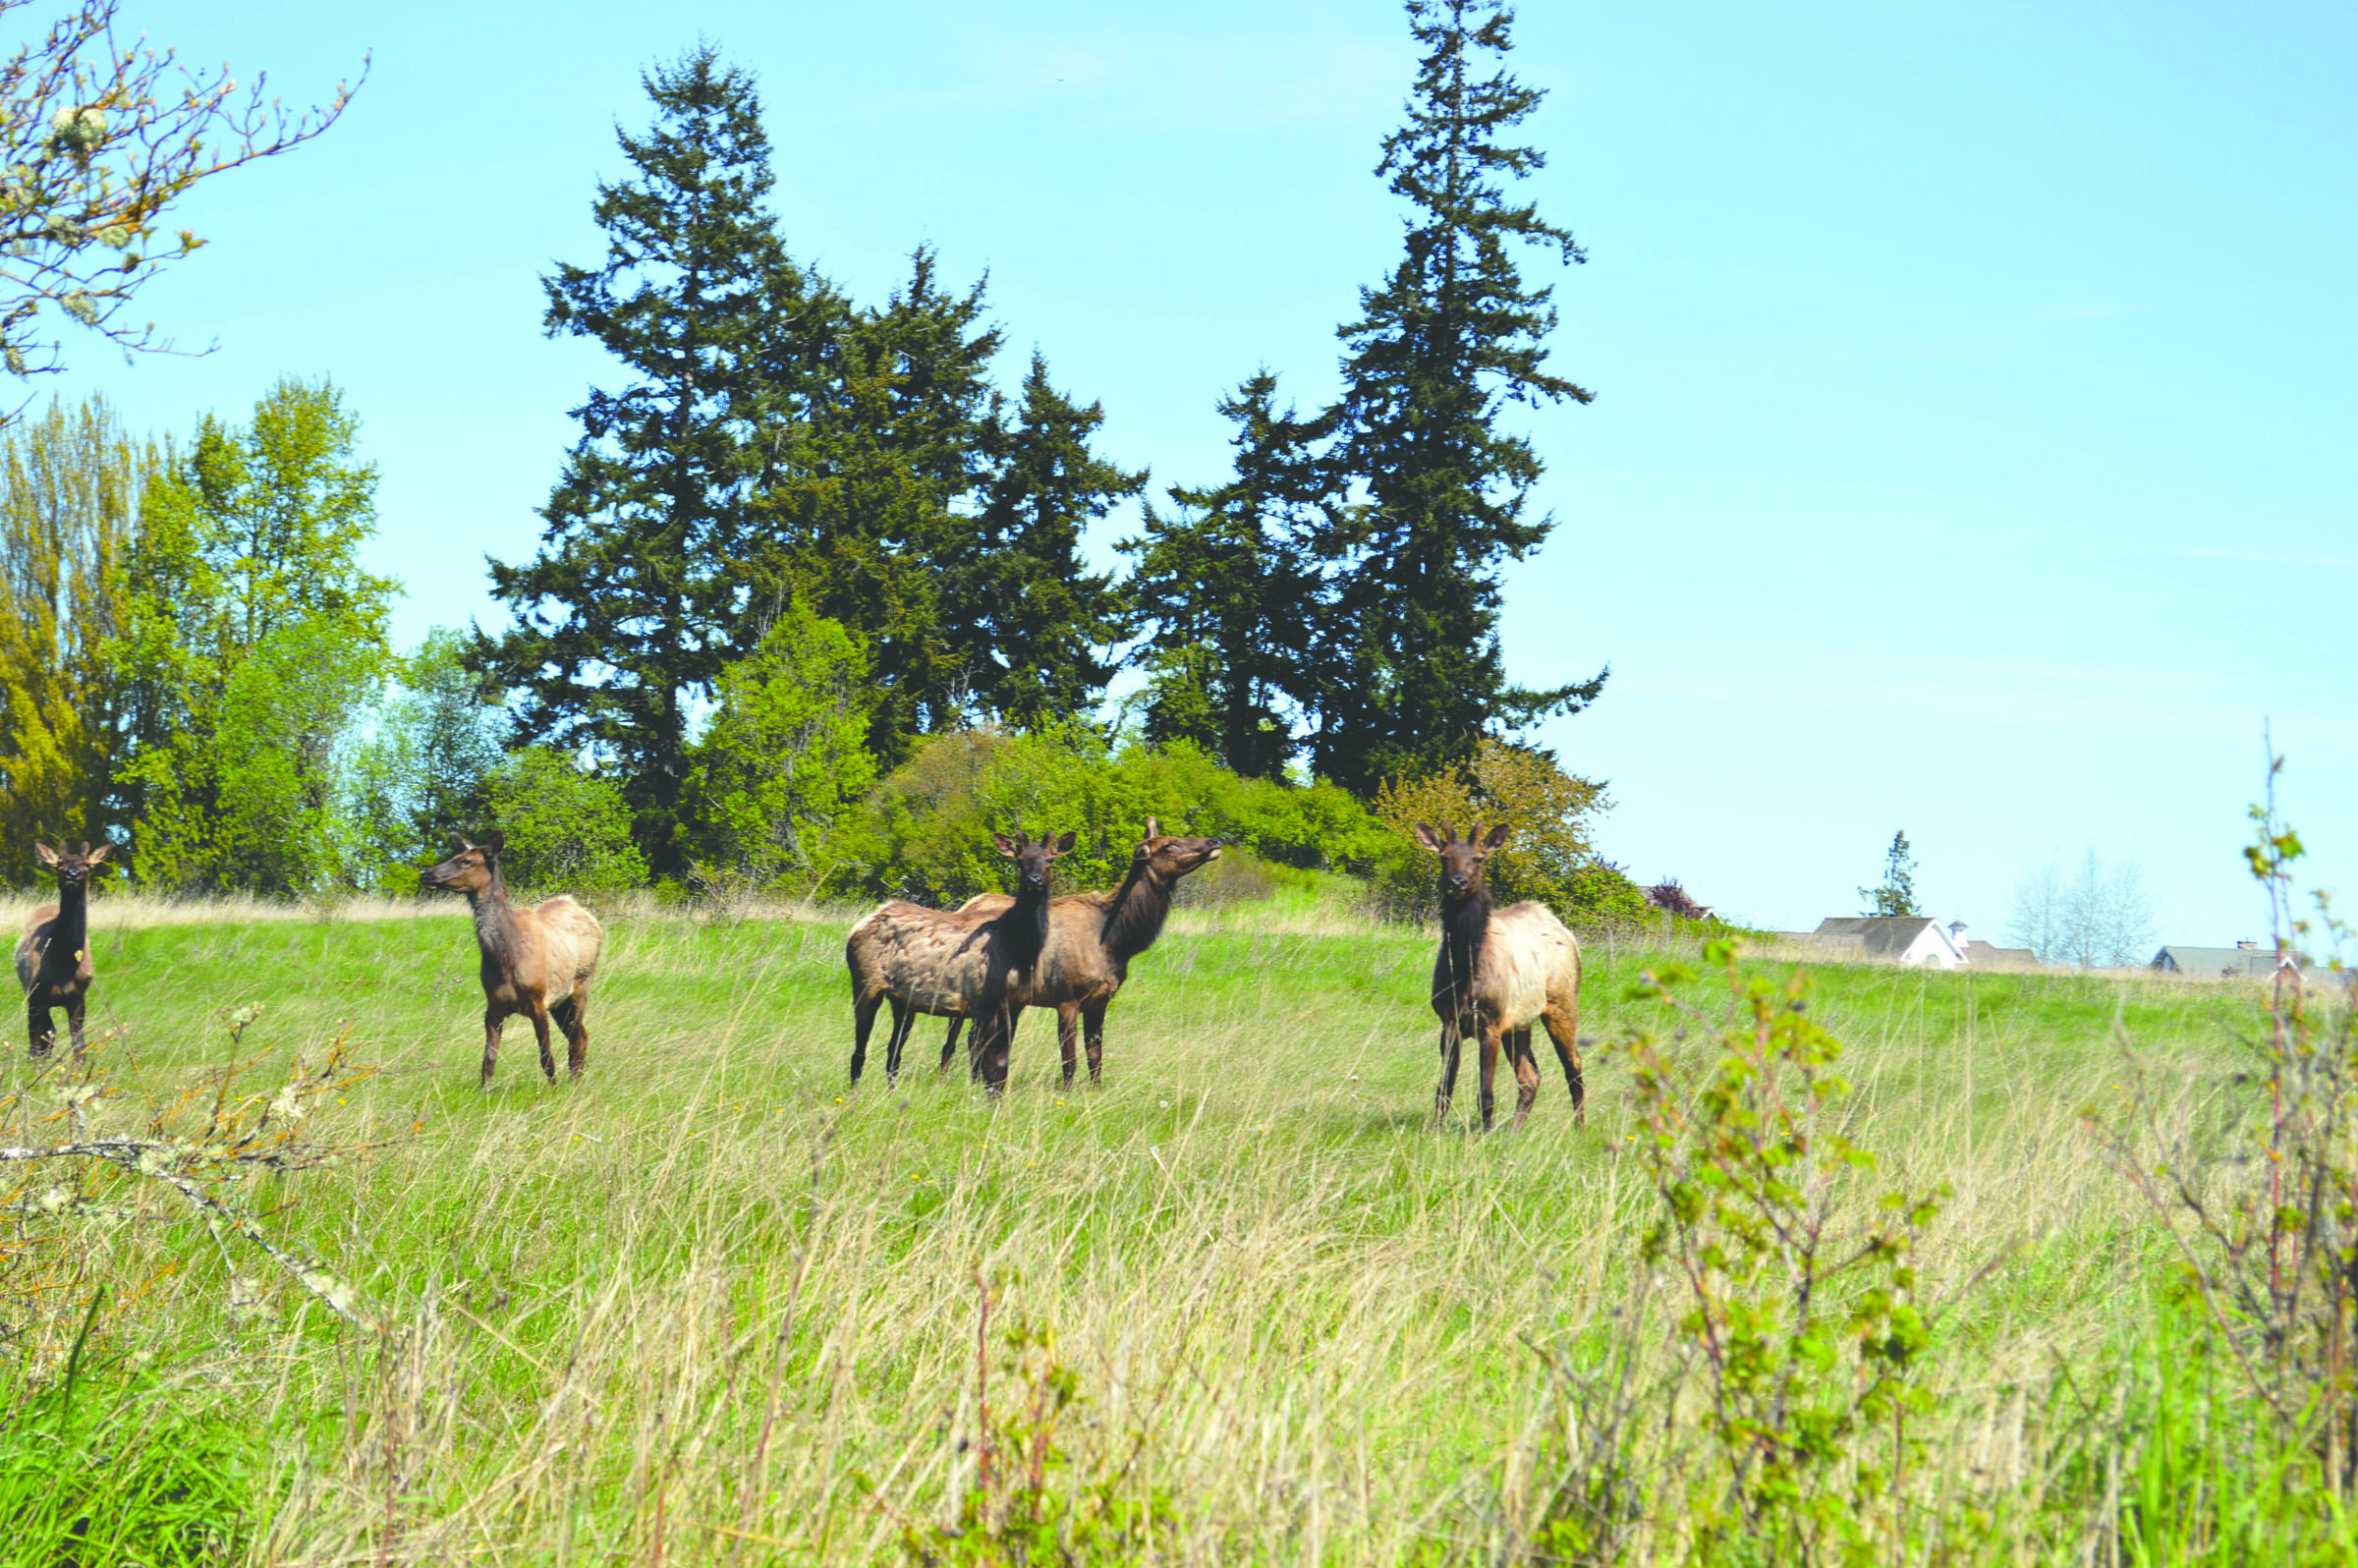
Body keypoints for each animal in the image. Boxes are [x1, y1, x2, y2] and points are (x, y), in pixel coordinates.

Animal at [15, 839, 110, 1056]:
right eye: (59, 863)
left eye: (87, 864)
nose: (72, 874)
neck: (64, 966)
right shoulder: (36, 995)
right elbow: (35, 1046)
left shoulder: (78, 997)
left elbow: (80, 1049)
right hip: (31, 993)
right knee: (44, 1038)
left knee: (50, 1034)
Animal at [424, 829, 608, 1089]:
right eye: (455, 855)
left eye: (466, 861)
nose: (426, 874)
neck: (507, 961)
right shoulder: (493, 1007)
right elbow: (489, 1060)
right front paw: (484, 1091)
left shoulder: (538, 1001)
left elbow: (546, 1056)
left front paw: (553, 1090)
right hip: (560, 1002)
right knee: (581, 1033)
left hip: (581, 983)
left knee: (577, 1036)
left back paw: (574, 1082)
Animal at [844, 829, 1075, 1089]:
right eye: (1019, 860)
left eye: (1050, 859)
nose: (1034, 880)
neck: (1018, 949)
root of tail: (858, 926)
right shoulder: (983, 1003)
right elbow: (988, 1067)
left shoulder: (1015, 1006)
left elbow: (1001, 1066)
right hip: (865, 985)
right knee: (859, 1053)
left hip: (902, 1000)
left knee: (893, 1052)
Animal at [933, 811, 1226, 1085]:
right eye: (1169, 845)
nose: (1215, 841)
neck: (1116, 943)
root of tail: (966, 905)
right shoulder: (1066, 997)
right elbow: (1070, 1059)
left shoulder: (1101, 1000)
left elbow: (1095, 1057)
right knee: (953, 1040)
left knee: (973, 1040)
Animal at [1415, 820, 1584, 1127]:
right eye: (1444, 857)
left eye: (1478, 858)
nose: (1457, 882)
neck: (1464, 974)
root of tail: (1564, 930)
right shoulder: (1449, 1020)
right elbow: (1444, 1089)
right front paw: (1436, 1129)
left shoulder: (1490, 1023)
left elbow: (1486, 1095)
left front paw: (1484, 1132)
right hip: (1519, 1024)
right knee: (1531, 1076)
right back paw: (1514, 1130)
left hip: (1562, 1005)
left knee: (1574, 1064)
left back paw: (1579, 1128)